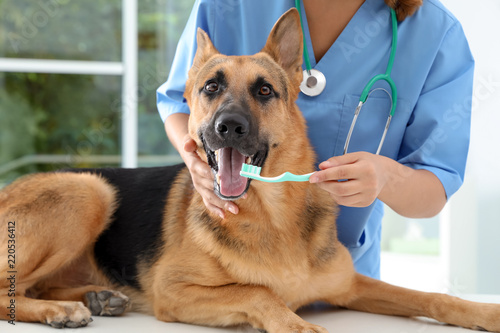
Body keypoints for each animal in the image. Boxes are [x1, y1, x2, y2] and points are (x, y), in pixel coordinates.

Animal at [0, 7, 500, 332]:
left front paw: (485, 313)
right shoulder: (173, 291)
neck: (274, 216)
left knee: (36, 286)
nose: (229, 126)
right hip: (89, 191)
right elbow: (258, 292)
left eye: (264, 91)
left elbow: (430, 295)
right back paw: (61, 310)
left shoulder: (351, 283)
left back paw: (94, 297)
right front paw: (298, 325)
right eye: (210, 87)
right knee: (11, 289)